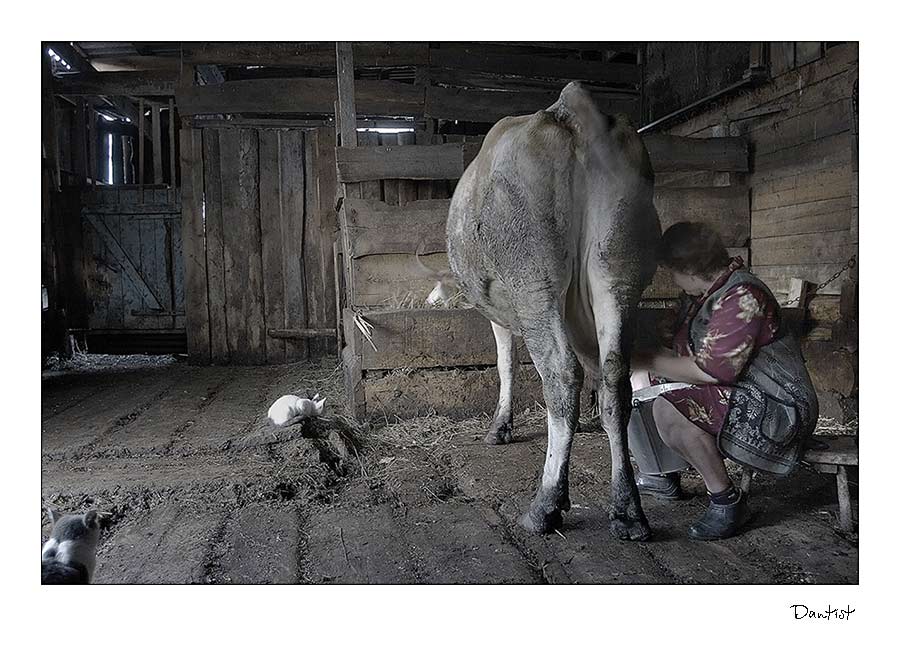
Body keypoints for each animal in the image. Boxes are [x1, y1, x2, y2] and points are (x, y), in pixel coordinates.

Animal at [444, 82, 660, 544]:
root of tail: (573, 109)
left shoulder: (501, 311)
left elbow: (506, 364)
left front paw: (499, 427)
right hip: (618, 269)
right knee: (616, 379)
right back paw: (627, 511)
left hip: (534, 278)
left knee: (560, 375)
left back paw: (546, 505)